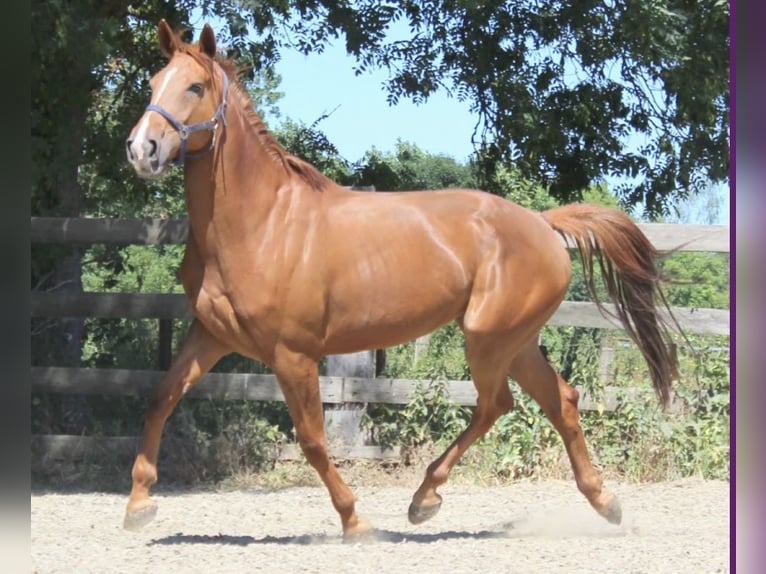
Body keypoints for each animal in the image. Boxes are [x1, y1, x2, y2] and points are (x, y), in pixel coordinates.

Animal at [124, 19, 680, 540]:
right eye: (153, 82)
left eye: (195, 86)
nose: (141, 149)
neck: (260, 224)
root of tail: (543, 224)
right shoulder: (211, 335)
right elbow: (159, 399)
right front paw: (138, 506)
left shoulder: (294, 354)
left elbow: (312, 439)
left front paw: (355, 522)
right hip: (515, 342)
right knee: (559, 400)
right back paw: (604, 503)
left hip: (488, 338)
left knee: (496, 403)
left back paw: (424, 500)